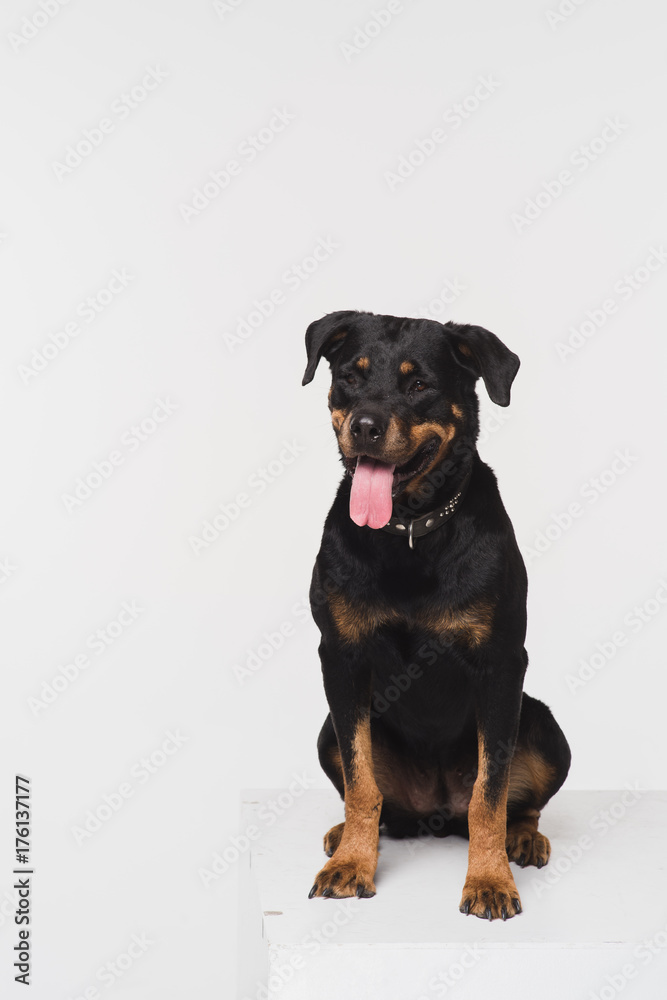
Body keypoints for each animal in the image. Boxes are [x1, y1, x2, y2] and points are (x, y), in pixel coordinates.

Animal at [302, 312, 568, 920]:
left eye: (419, 384)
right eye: (350, 377)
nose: (366, 426)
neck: (408, 535)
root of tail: (435, 812)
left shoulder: (501, 665)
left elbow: (491, 793)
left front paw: (489, 880)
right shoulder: (340, 658)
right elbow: (361, 782)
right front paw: (352, 864)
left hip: (544, 724)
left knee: (518, 803)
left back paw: (523, 839)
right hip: (327, 730)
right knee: (376, 799)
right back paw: (346, 835)